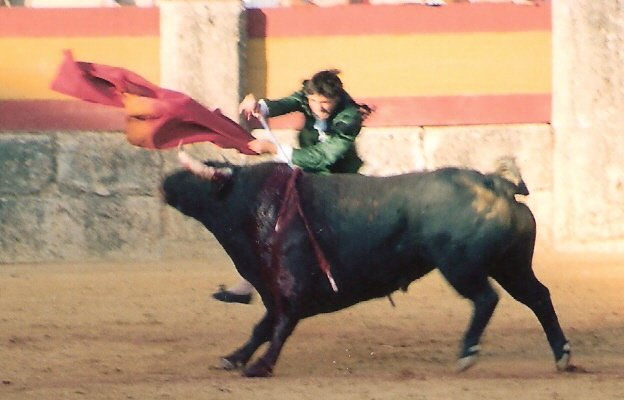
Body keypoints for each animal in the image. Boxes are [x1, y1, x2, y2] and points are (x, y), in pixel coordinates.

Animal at [162, 160, 572, 378]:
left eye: (204, 175)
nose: (167, 181)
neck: (254, 206)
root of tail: (495, 184)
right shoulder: (272, 291)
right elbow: (261, 327)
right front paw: (233, 358)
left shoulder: (291, 291)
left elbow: (278, 327)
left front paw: (259, 366)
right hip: (511, 266)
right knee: (538, 297)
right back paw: (563, 355)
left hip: (461, 267)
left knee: (486, 299)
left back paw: (467, 353)